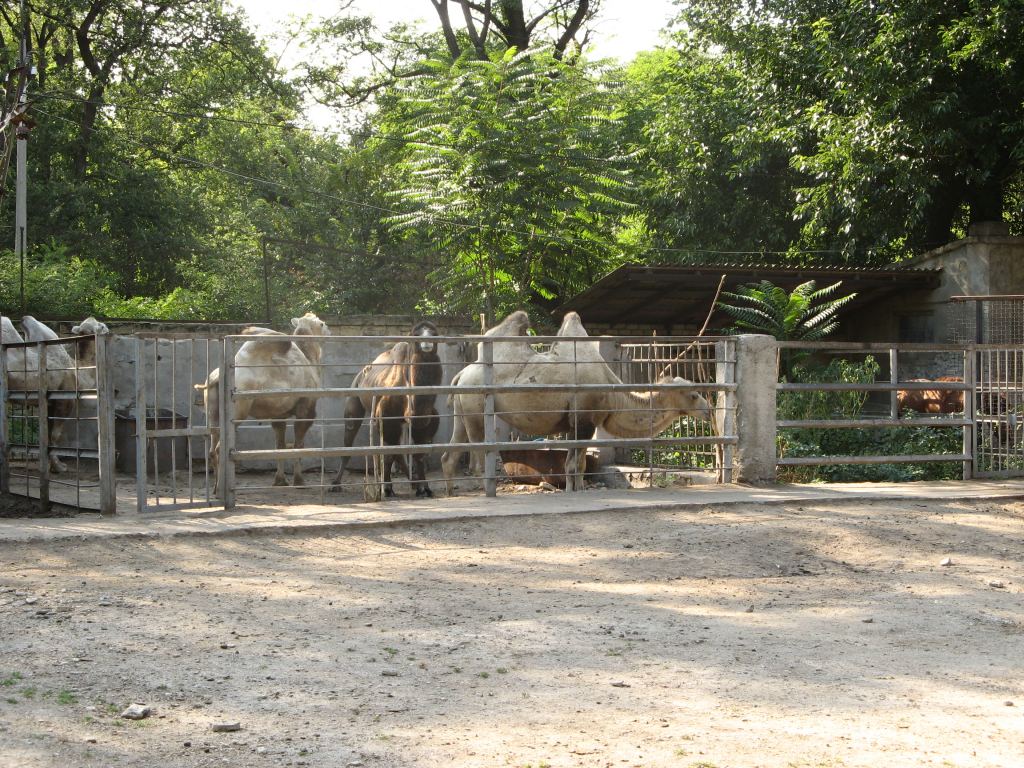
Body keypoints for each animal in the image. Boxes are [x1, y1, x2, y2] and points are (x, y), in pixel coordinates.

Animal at [196, 313, 331, 493]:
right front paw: (299, 481)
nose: (329, 331)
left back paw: (216, 488)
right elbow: (298, 444)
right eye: (322, 323)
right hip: (239, 410)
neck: (309, 359)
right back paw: (220, 488)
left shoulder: (279, 414)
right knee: (219, 448)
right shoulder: (306, 408)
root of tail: (215, 379)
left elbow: (280, 446)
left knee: (211, 448)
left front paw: (280, 481)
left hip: (212, 411)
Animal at [440, 311, 712, 495]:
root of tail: (462, 374)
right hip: (475, 406)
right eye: (693, 394)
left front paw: (573, 489)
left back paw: (449, 492)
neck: (613, 392)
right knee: (476, 454)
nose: (709, 410)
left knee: (449, 455)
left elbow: (572, 463)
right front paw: (578, 491)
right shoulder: (585, 420)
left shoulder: (573, 423)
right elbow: (577, 464)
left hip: (462, 410)